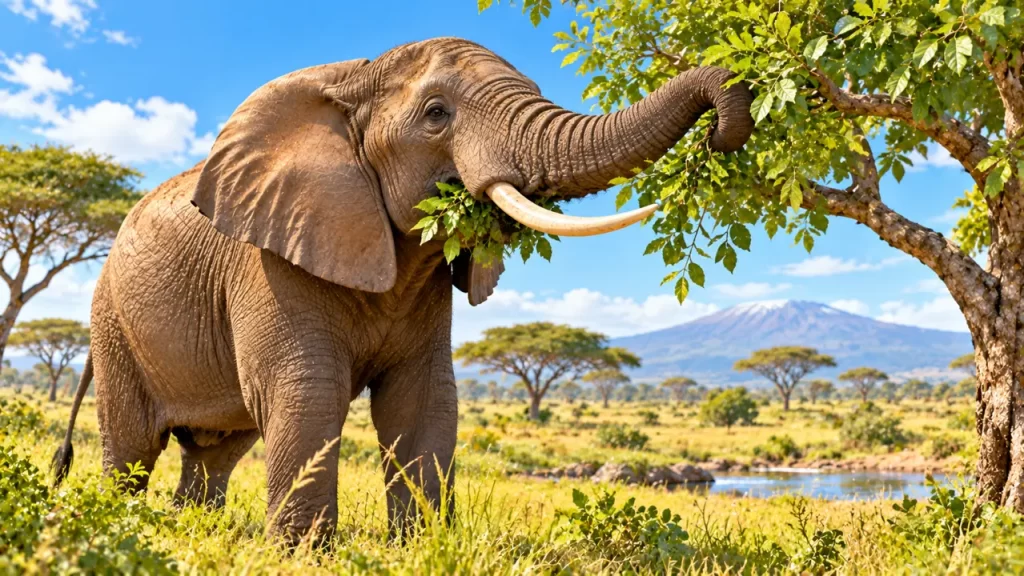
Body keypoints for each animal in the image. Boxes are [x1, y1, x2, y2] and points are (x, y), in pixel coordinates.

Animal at [52, 37, 753, 541]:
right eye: (436, 114)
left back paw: (193, 527)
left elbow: (421, 401)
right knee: (133, 446)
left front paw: (418, 546)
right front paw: (304, 554)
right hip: (113, 323)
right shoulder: (268, 261)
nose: (723, 119)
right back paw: (123, 523)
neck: (349, 82)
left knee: (216, 450)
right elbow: (307, 390)